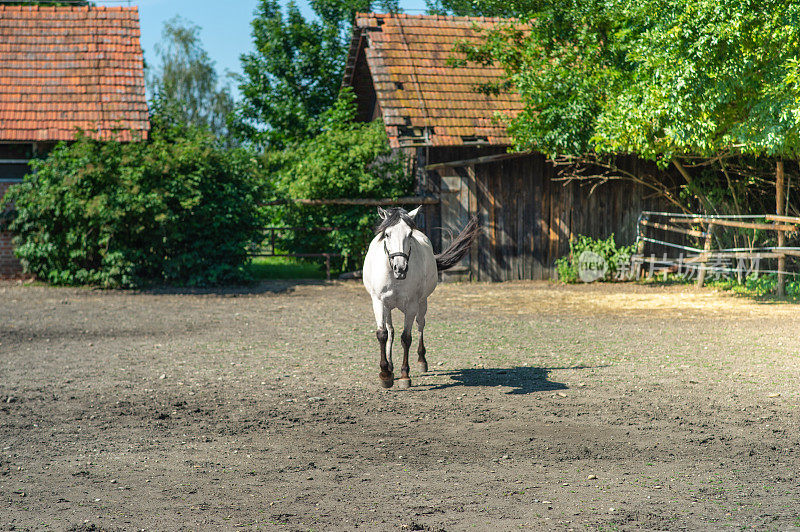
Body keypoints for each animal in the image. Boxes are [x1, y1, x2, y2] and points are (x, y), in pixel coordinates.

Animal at [364, 206, 482, 388]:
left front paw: (405, 376)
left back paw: (421, 361)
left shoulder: (412, 305)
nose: (400, 268)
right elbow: (382, 334)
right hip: (388, 307)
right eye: (387, 234)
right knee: (390, 331)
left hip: (422, 303)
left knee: (420, 325)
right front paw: (385, 374)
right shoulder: (378, 302)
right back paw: (390, 366)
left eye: (409, 234)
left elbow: (406, 338)